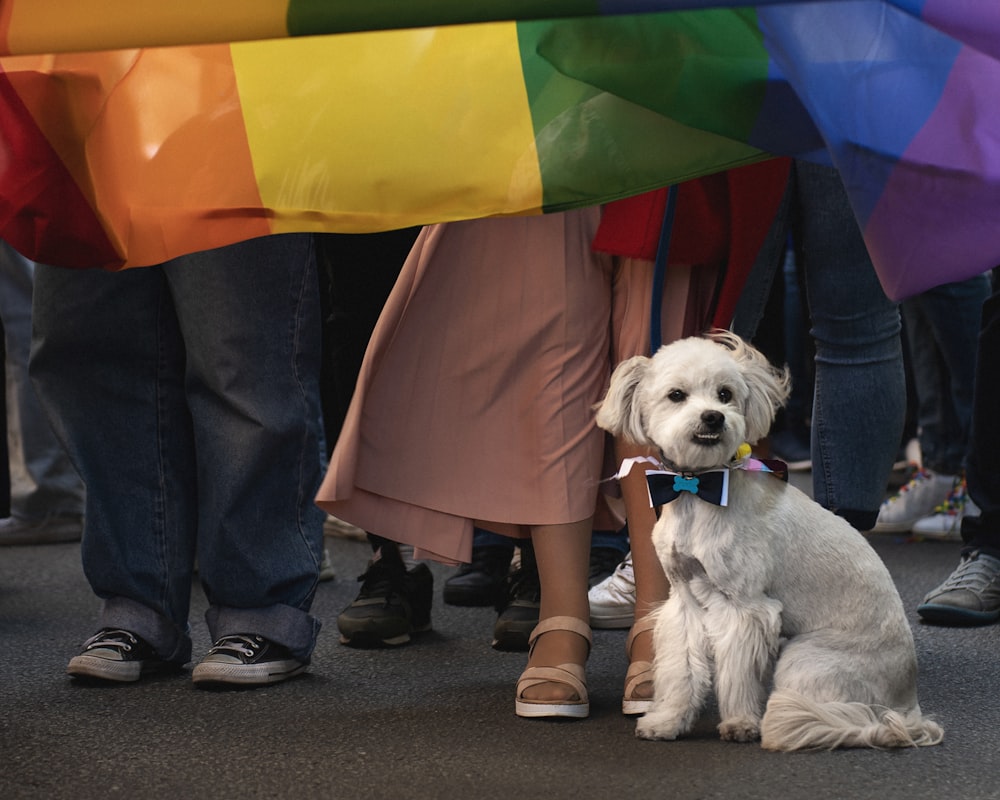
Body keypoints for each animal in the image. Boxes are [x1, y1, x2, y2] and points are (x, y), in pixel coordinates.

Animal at [596, 330, 940, 752]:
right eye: (676, 395)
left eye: (725, 393)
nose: (713, 416)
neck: (699, 487)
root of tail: (908, 705)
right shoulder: (684, 604)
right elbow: (682, 671)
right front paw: (668, 721)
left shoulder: (745, 609)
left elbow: (736, 674)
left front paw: (740, 723)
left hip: (803, 660)